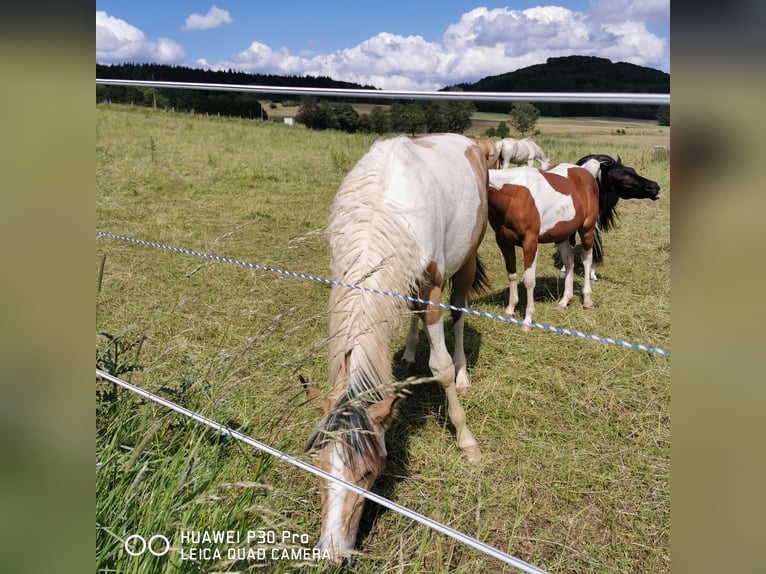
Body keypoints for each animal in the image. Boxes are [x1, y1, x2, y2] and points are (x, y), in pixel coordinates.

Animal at [305, 133, 489, 561]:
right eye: (317, 465)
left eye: (370, 472)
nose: (332, 551)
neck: (382, 209)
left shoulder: (432, 285)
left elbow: (439, 368)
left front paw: (466, 440)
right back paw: (407, 354)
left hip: (466, 261)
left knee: (458, 317)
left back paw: (463, 372)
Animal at [487, 160, 602, 329]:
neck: (512, 194)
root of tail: (584, 171)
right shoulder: (503, 241)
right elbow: (511, 274)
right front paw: (510, 310)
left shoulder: (530, 242)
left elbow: (529, 280)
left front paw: (527, 320)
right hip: (561, 236)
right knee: (569, 261)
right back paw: (564, 301)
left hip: (586, 230)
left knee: (586, 259)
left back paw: (587, 300)